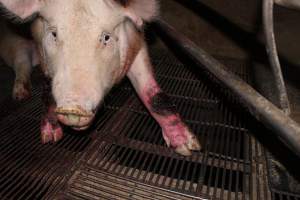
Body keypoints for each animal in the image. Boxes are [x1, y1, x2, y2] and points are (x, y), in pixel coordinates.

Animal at [1, 0, 202, 156]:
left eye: (106, 37)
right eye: (54, 34)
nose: (73, 107)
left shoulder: (136, 40)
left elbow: (154, 95)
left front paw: (187, 148)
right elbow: (47, 91)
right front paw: (50, 138)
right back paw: (20, 95)